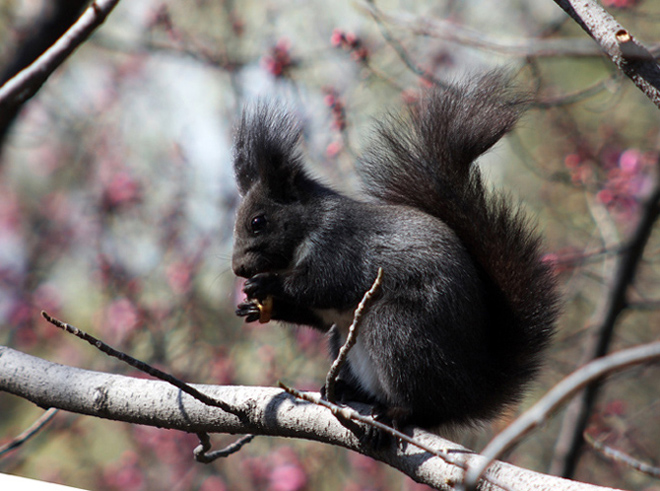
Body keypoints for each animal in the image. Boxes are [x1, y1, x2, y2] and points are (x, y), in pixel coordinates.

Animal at [231, 72, 556, 430]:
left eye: (258, 222)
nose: (238, 269)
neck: (307, 229)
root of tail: (471, 391)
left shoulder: (342, 247)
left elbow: (325, 285)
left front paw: (268, 284)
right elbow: (315, 312)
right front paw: (256, 307)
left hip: (398, 331)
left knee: (426, 406)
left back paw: (396, 412)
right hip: (345, 342)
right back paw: (347, 391)